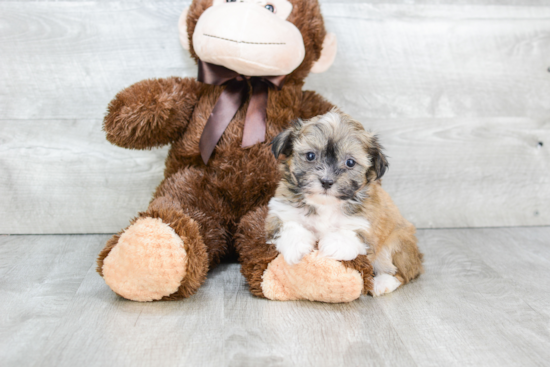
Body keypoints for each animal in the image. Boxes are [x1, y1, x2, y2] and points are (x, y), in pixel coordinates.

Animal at [268, 109, 426, 296]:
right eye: (310, 156)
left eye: (350, 162)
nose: (327, 181)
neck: (325, 204)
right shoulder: (279, 211)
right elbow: (288, 225)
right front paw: (296, 245)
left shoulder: (367, 223)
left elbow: (352, 233)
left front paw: (333, 245)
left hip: (398, 243)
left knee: (402, 273)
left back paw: (382, 282)